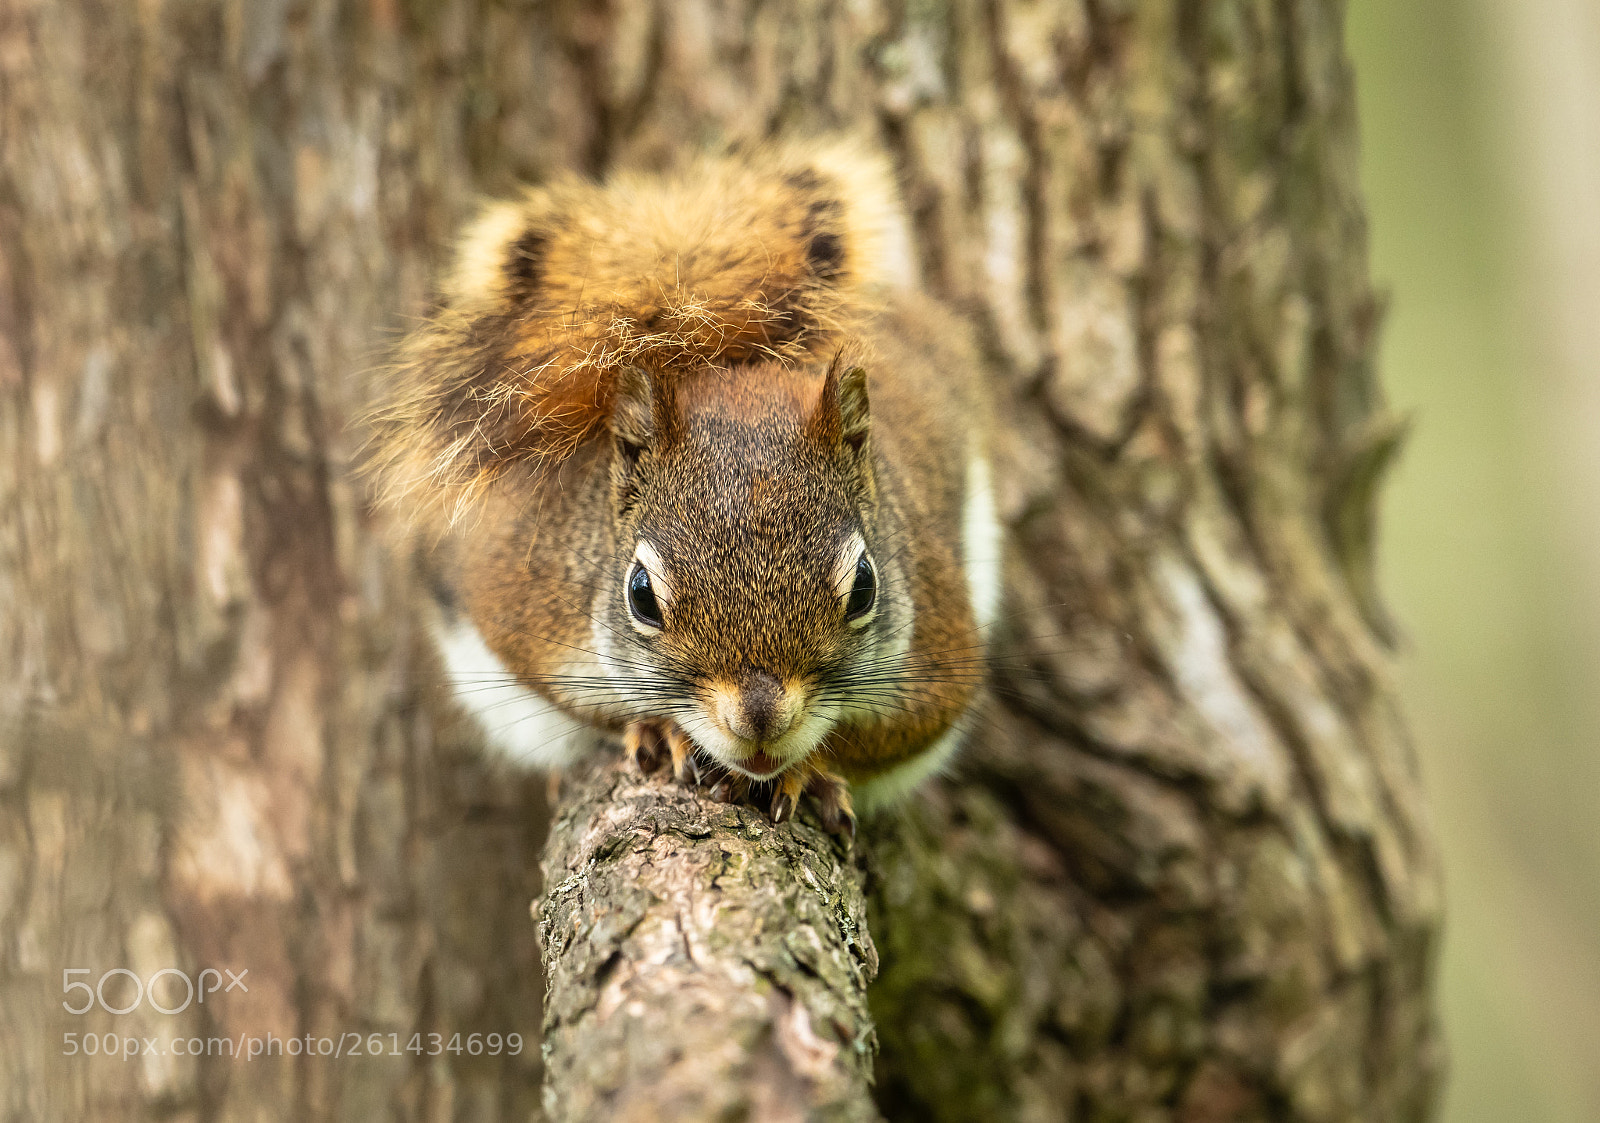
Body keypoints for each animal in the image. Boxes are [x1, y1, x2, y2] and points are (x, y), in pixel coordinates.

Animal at [367, 140, 1001, 838]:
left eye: (864, 586)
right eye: (641, 595)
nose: (760, 721)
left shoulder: (937, 649)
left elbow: (897, 734)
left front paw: (806, 769)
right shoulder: (524, 599)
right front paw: (664, 731)